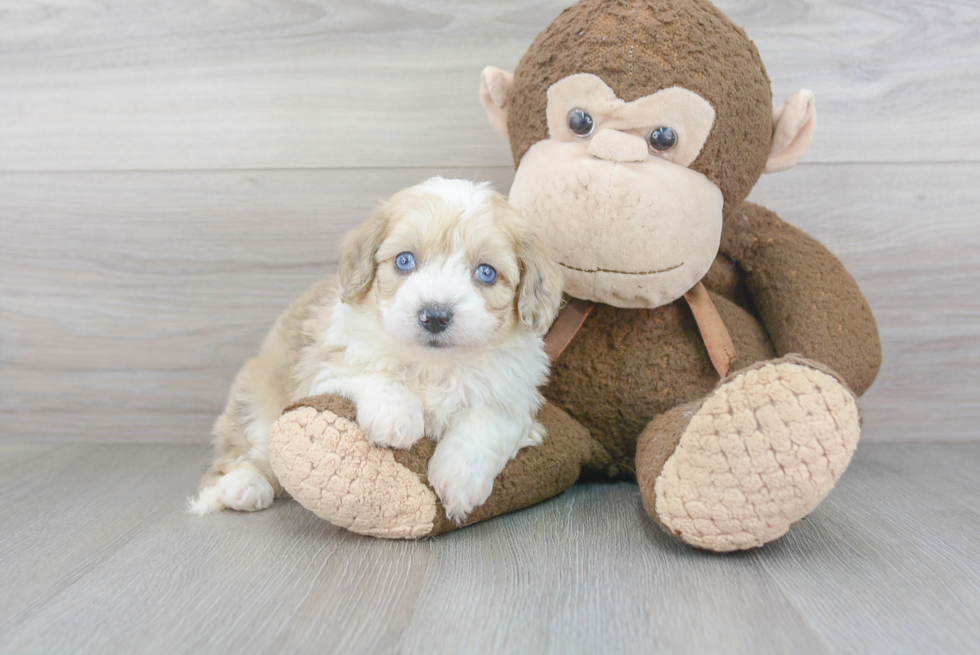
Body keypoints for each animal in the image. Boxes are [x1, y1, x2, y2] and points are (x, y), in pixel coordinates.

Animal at [191, 177, 564, 524]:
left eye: (486, 273)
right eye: (404, 260)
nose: (435, 315)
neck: (433, 364)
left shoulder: (513, 394)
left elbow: (485, 424)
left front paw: (459, 478)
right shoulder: (324, 366)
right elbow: (371, 374)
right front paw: (396, 415)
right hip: (254, 406)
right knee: (239, 453)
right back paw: (243, 485)